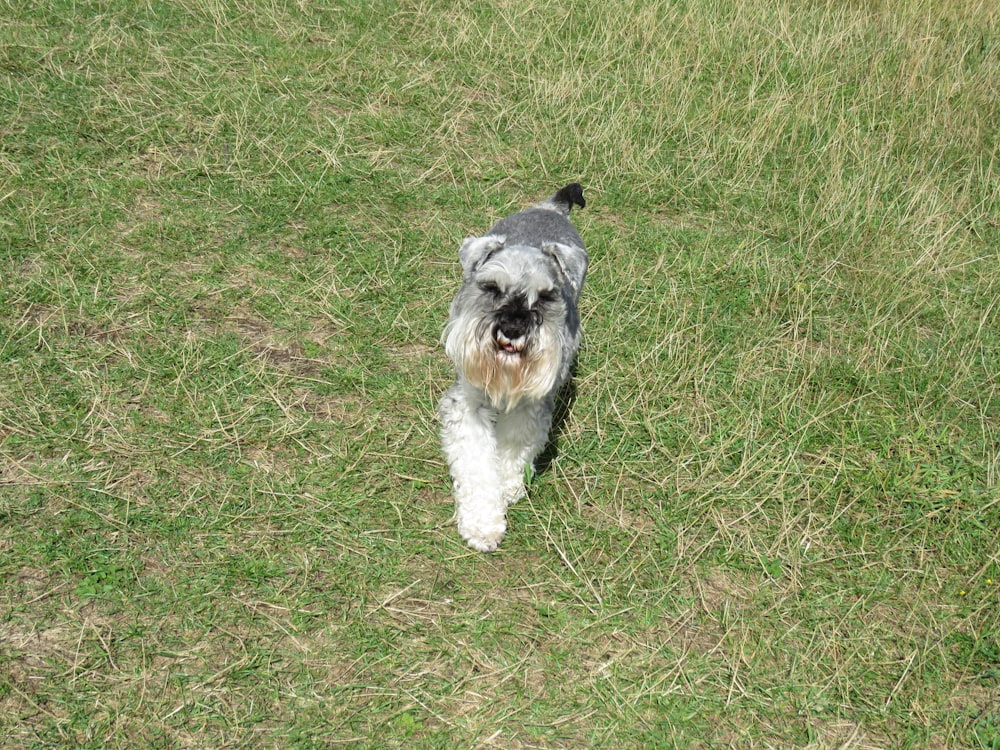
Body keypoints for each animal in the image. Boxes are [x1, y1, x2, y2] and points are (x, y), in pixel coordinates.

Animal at [442, 184, 588, 552]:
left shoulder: (530, 406)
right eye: (492, 287)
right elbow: (477, 464)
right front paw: (482, 525)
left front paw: (509, 487)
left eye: (546, 296)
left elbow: (514, 448)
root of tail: (550, 208)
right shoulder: (468, 405)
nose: (512, 328)